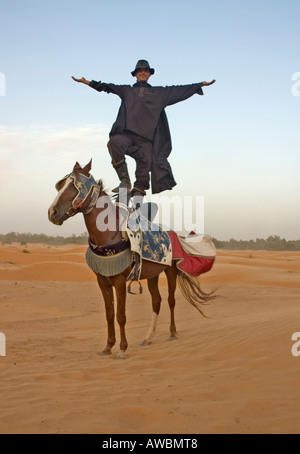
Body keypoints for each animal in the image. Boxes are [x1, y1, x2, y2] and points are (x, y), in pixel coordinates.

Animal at [48, 161, 214, 360]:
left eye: (75, 186)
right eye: (60, 185)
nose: (52, 212)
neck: (107, 235)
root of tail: (175, 235)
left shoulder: (120, 281)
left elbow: (121, 315)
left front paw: (122, 349)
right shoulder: (102, 281)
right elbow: (109, 315)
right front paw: (108, 346)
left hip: (171, 271)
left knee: (170, 300)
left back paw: (173, 332)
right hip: (152, 275)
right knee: (156, 301)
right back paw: (148, 337)